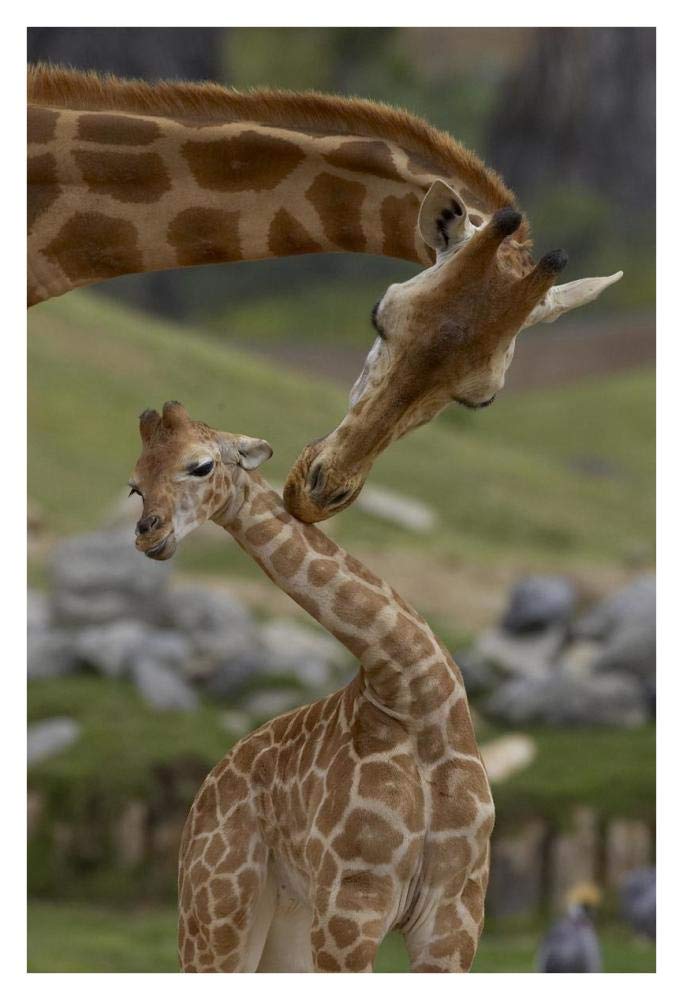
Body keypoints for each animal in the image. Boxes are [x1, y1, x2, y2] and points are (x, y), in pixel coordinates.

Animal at [130, 400, 495, 973]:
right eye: (135, 486)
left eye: (201, 466)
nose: (149, 533)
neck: (414, 698)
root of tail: (202, 794)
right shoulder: (351, 907)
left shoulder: (455, 916)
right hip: (216, 909)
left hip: (290, 919)